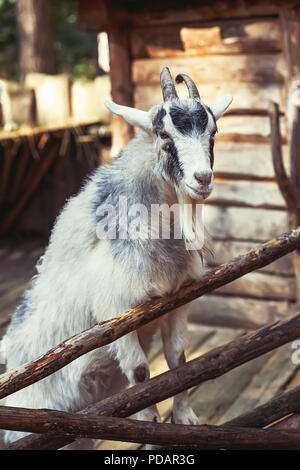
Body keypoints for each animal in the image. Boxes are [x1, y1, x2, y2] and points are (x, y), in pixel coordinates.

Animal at [0, 67, 232, 448]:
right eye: (164, 135)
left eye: (212, 131)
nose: (202, 179)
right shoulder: (118, 314)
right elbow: (141, 373)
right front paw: (150, 433)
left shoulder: (176, 301)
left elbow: (178, 360)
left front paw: (185, 420)